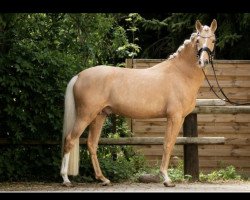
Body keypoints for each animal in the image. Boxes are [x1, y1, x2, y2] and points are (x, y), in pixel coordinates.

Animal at [60, 19, 217, 187]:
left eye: (213, 40)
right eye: (198, 41)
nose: (203, 61)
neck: (180, 73)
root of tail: (79, 75)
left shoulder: (179, 118)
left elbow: (169, 143)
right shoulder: (174, 117)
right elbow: (168, 144)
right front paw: (166, 179)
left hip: (99, 116)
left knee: (91, 144)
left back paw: (103, 179)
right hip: (85, 115)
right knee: (70, 140)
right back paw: (66, 179)